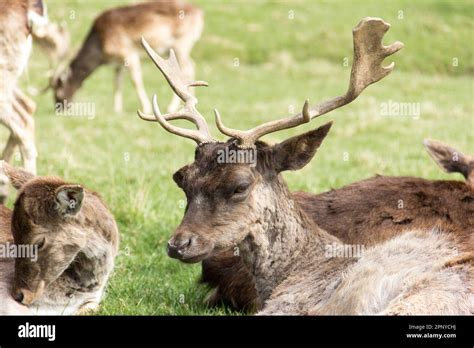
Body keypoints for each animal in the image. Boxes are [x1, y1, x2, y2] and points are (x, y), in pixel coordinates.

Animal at [52, 0, 204, 113]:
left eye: (58, 91)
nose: (59, 108)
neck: (100, 48)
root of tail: (200, 13)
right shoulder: (117, 63)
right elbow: (117, 81)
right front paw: (117, 109)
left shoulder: (128, 53)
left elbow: (135, 80)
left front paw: (146, 108)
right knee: (192, 65)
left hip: (182, 43)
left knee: (186, 69)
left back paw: (173, 107)